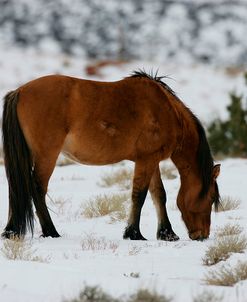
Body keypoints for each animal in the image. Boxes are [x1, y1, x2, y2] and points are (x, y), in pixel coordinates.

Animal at [0, 70, 220, 241]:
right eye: (210, 197)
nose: (202, 235)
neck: (167, 111)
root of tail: (19, 91)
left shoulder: (152, 160)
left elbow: (159, 194)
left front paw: (167, 233)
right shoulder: (146, 160)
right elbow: (139, 195)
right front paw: (134, 233)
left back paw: (12, 231)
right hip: (47, 155)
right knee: (38, 188)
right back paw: (51, 231)